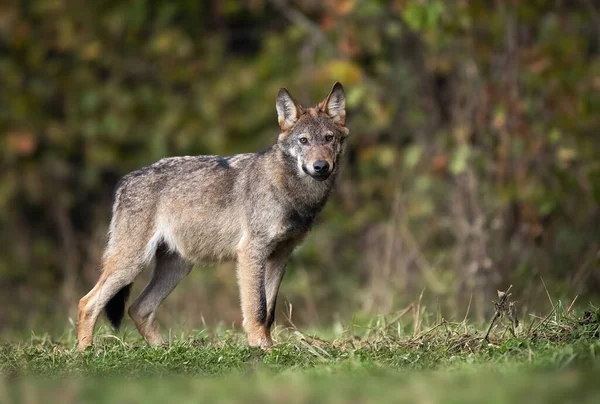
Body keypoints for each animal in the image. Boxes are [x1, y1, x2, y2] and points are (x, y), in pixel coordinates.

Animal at [76, 81, 346, 350]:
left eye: (328, 138)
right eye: (304, 140)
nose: (321, 166)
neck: (290, 191)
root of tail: (124, 181)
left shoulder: (280, 256)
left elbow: (269, 312)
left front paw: (269, 347)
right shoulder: (250, 252)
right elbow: (257, 309)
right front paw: (260, 348)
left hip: (177, 268)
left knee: (138, 308)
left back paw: (164, 350)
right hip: (133, 263)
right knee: (88, 303)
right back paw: (86, 352)